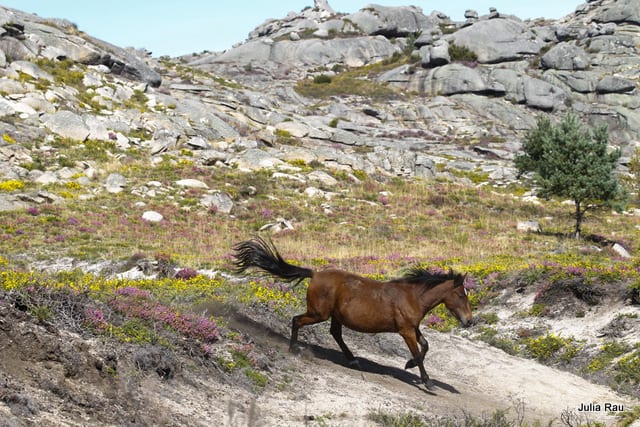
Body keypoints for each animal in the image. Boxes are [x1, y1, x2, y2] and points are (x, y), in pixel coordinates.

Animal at [232, 237, 472, 392]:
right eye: (461, 294)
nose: (469, 321)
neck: (412, 296)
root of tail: (315, 274)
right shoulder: (406, 331)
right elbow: (419, 353)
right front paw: (426, 380)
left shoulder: (413, 328)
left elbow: (425, 347)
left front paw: (409, 365)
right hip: (318, 313)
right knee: (297, 320)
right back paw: (294, 349)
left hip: (335, 316)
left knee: (335, 333)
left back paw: (352, 359)